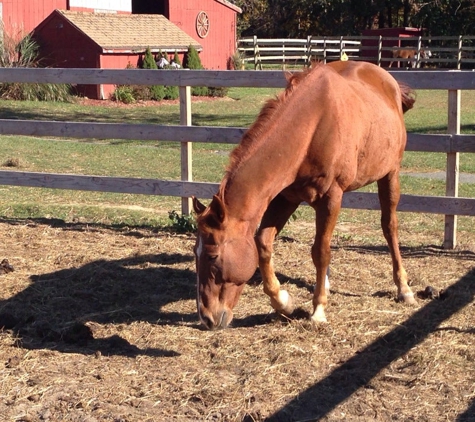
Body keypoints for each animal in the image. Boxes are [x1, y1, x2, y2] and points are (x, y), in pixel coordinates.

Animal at [193, 60, 416, 330]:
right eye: (195, 253)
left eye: (213, 256)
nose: (206, 317)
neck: (311, 126)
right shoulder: (285, 197)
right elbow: (263, 243)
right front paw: (283, 302)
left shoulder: (331, 197)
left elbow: (320, 251)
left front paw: (318, 310)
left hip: (390, 175)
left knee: (389, 227)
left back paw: (403, 288)